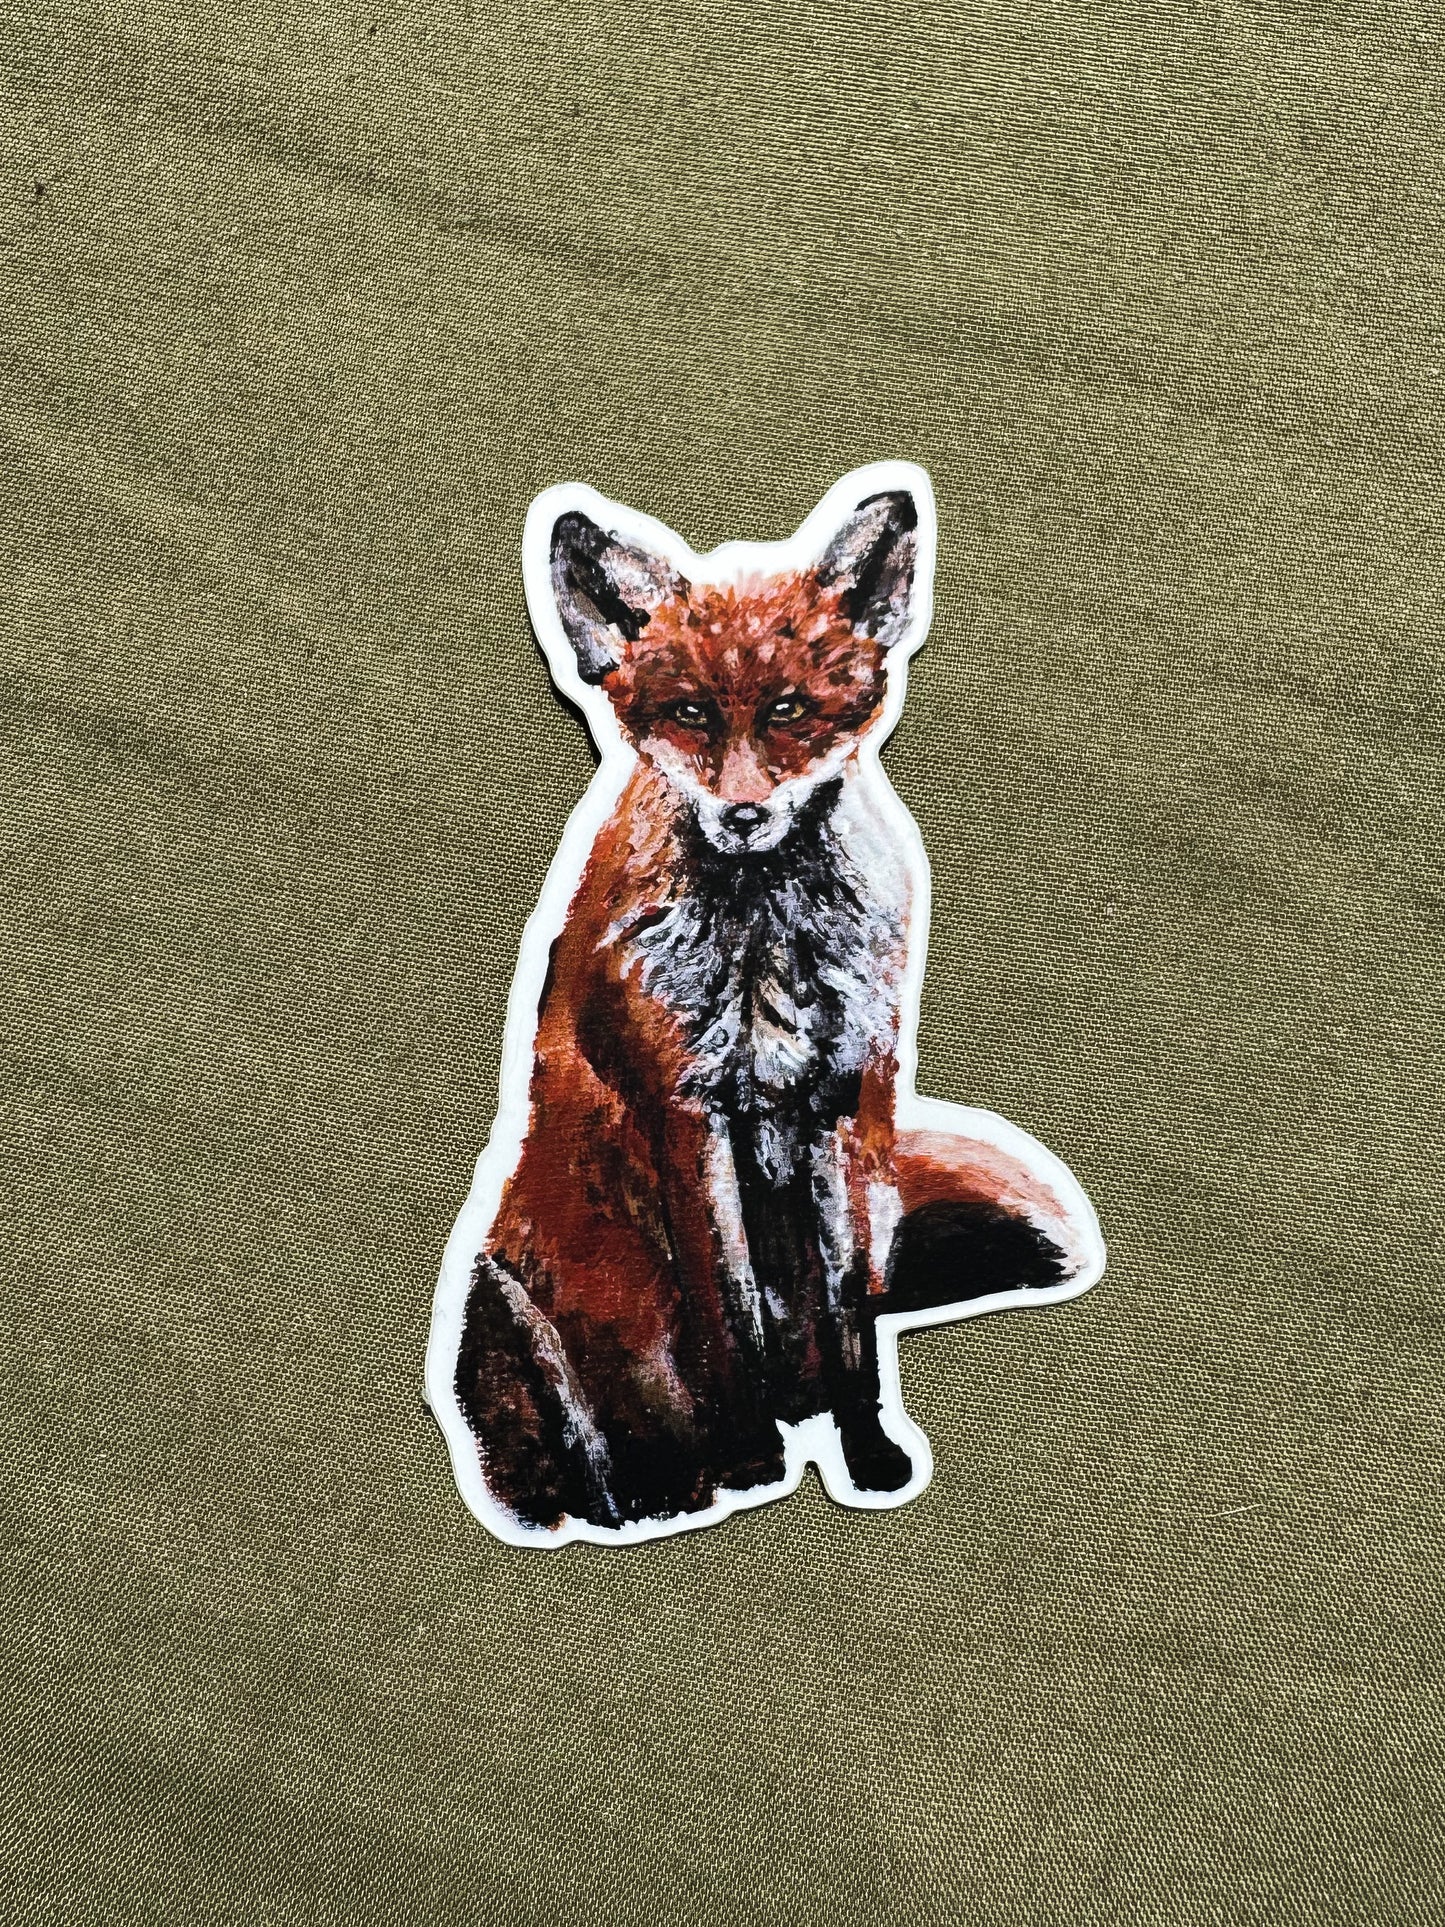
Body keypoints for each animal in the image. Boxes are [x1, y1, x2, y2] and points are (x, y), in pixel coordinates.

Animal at [425, 461, 1104, 1547]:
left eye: (789, 709)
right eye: (691, 713)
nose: (742, 815)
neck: (768, 948)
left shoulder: (839, 1109)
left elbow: (850, 1318)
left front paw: (869, 1457)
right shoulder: (687, 1113)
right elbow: (724, 1315)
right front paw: (754, 1463)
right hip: (500, 1311)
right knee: (578, 1468)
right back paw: (662, 1490)